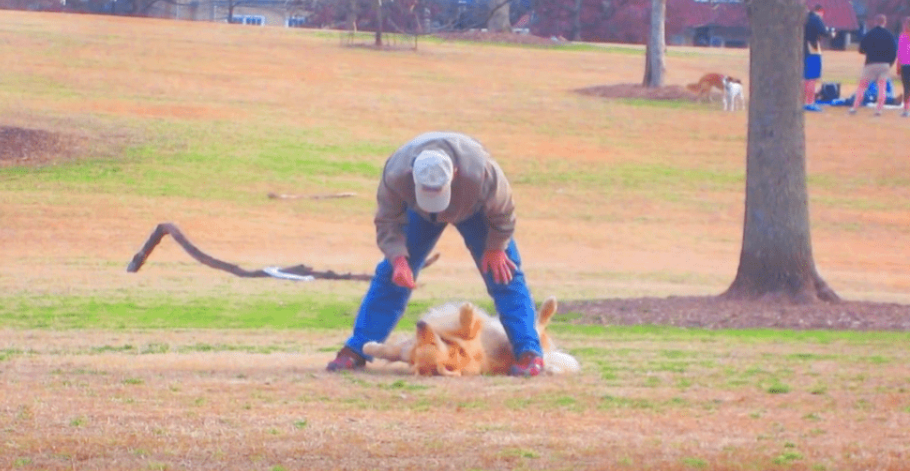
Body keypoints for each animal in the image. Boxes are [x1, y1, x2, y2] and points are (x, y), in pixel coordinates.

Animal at [363, 296, 580, 376]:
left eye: (430, 342)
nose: (420, 323)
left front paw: (368, 346)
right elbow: (467, 326)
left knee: (536, 326)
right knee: (537, 325)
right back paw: (549, 306)